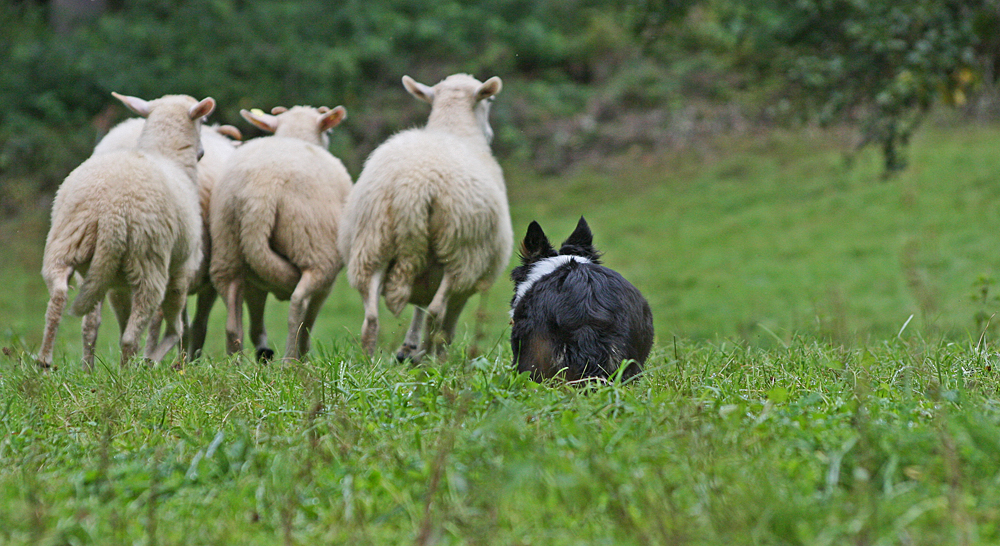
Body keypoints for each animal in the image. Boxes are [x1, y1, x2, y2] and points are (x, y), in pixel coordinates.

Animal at [38, 93, 216, 368]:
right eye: (203, 121)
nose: (202, 153)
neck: (166, 154)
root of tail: (109, 210)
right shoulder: (183, 268)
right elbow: (173, 325)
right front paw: (154, 359)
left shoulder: (118, 285)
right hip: (149, 260)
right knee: (136, 334)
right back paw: (132, 371)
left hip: (66, 244)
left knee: (63, 302)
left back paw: (50, 363)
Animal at [80, 117, 240, 362]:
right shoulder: (204, 279)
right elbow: (196, 325)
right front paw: (188, 360)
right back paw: (150, 359)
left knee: (95, 320)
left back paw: (90, 365)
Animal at [209, 103, 354, 360]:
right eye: (329, 132)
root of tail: (260, 191)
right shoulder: (327, 287)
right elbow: (308, 323)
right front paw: (303, 354)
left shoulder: (256, 282)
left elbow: (256, 323)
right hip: (314, 249)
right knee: (298, 303)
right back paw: (291, 361)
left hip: (228, 251)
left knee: (232, 322)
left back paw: (236, 365)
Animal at [338, 73, 512, 362]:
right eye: (490, 101)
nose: (491, 134)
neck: (454, 128)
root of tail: (415, 185)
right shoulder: (465, 283)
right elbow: (444, 321)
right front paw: (426, 352)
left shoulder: (426, 276)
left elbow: (418, 306)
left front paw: (408, 347)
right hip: (460, 253)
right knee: (436, 312)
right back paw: (430, 360)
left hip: (372, 243)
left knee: (371, 317)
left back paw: (369, 362)